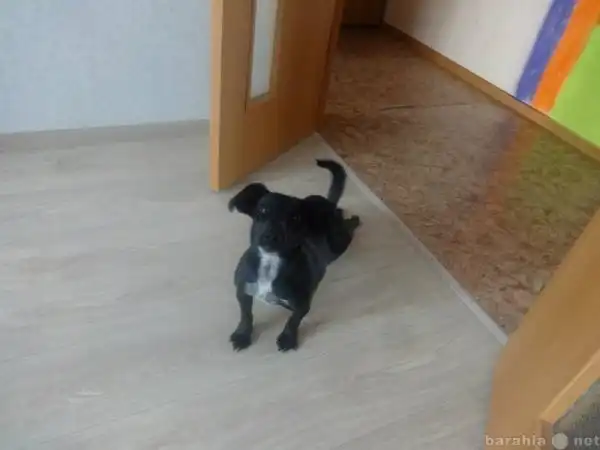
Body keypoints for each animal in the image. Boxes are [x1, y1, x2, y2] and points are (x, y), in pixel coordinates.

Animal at [227, 159, 360, 352]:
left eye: (295, 218)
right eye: (263, 210)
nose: (271, 235)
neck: (270, 263)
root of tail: (328, 204)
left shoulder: (302, 304)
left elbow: (292, 321)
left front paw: (288, 339)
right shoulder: (243, 291)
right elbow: (246, 315)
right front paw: (243, 335)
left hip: (338, 244)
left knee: (348, 228)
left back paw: (354, 220)